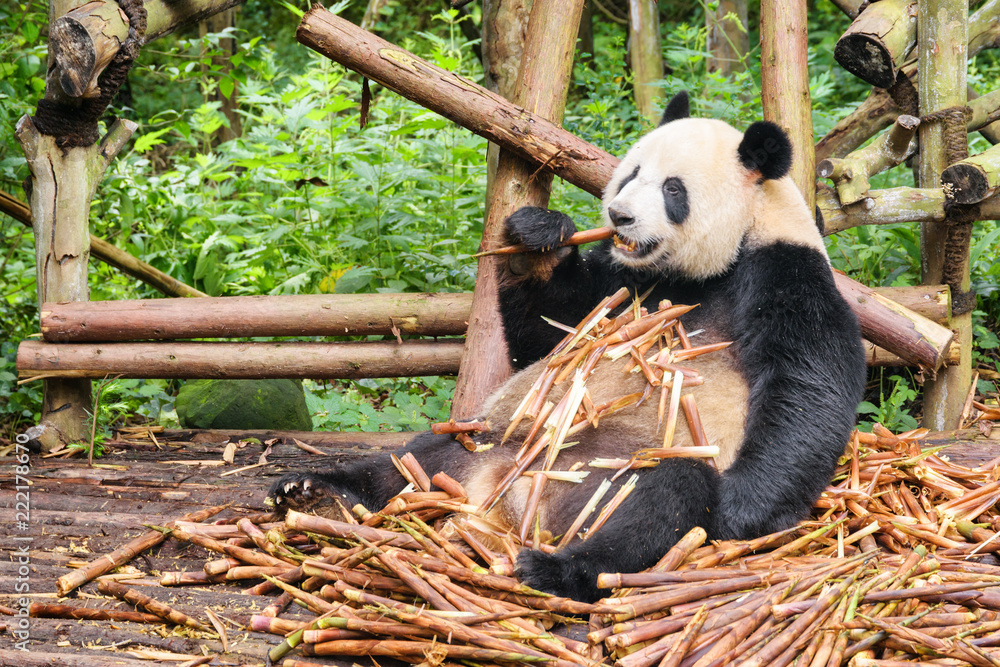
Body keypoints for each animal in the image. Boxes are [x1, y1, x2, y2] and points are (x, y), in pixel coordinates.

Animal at [268, 91, 867, 603]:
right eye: (632, 173)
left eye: (673, 190)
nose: (620, 215)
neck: (709, 266)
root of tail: (503, 507)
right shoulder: (621, 282)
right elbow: (550, 335)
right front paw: (536, 238)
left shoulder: (782, 272)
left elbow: (808, 387)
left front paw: (742, 509)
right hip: (488, 444)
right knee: (414, 459)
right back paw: (316, 491)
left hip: (611, 473)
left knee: (661, 499)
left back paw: (556, 568)